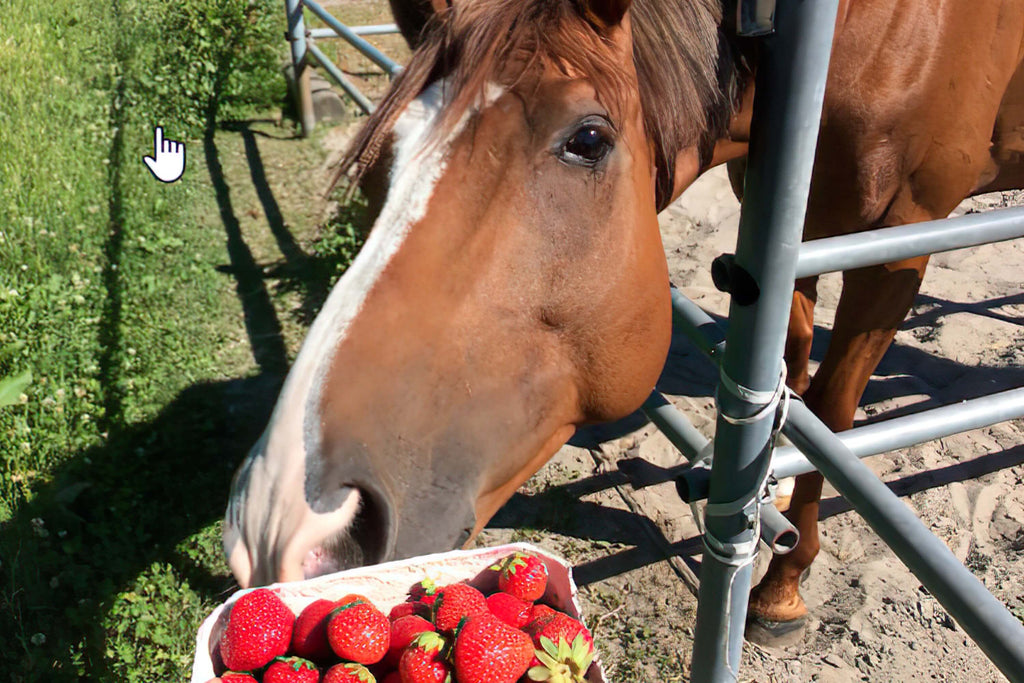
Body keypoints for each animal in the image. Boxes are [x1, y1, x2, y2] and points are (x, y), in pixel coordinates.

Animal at [222, 0, 1024, 647]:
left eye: (587, 139)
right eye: (391, 147)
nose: (283, 520)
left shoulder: (897, 246)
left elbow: (832, 410)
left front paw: (780, 589)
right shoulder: (793, 227)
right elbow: (793, 377)